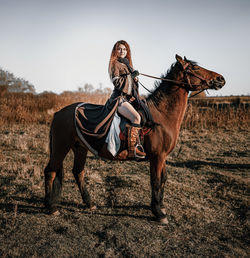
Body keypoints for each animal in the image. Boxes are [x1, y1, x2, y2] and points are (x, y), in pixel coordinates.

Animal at [44, 55, 226, 224]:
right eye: (195, 68)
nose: (221, 79)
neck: (161, 114)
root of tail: (59, 113)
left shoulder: (163, 157)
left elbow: (163, 179)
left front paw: (161, 206)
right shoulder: (157, 157)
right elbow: (156, 181)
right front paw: (158, 213)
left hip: (80, 148)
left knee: (78, 172)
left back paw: (89, 203)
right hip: (61, 147)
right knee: (50, 171)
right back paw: (51, 207)